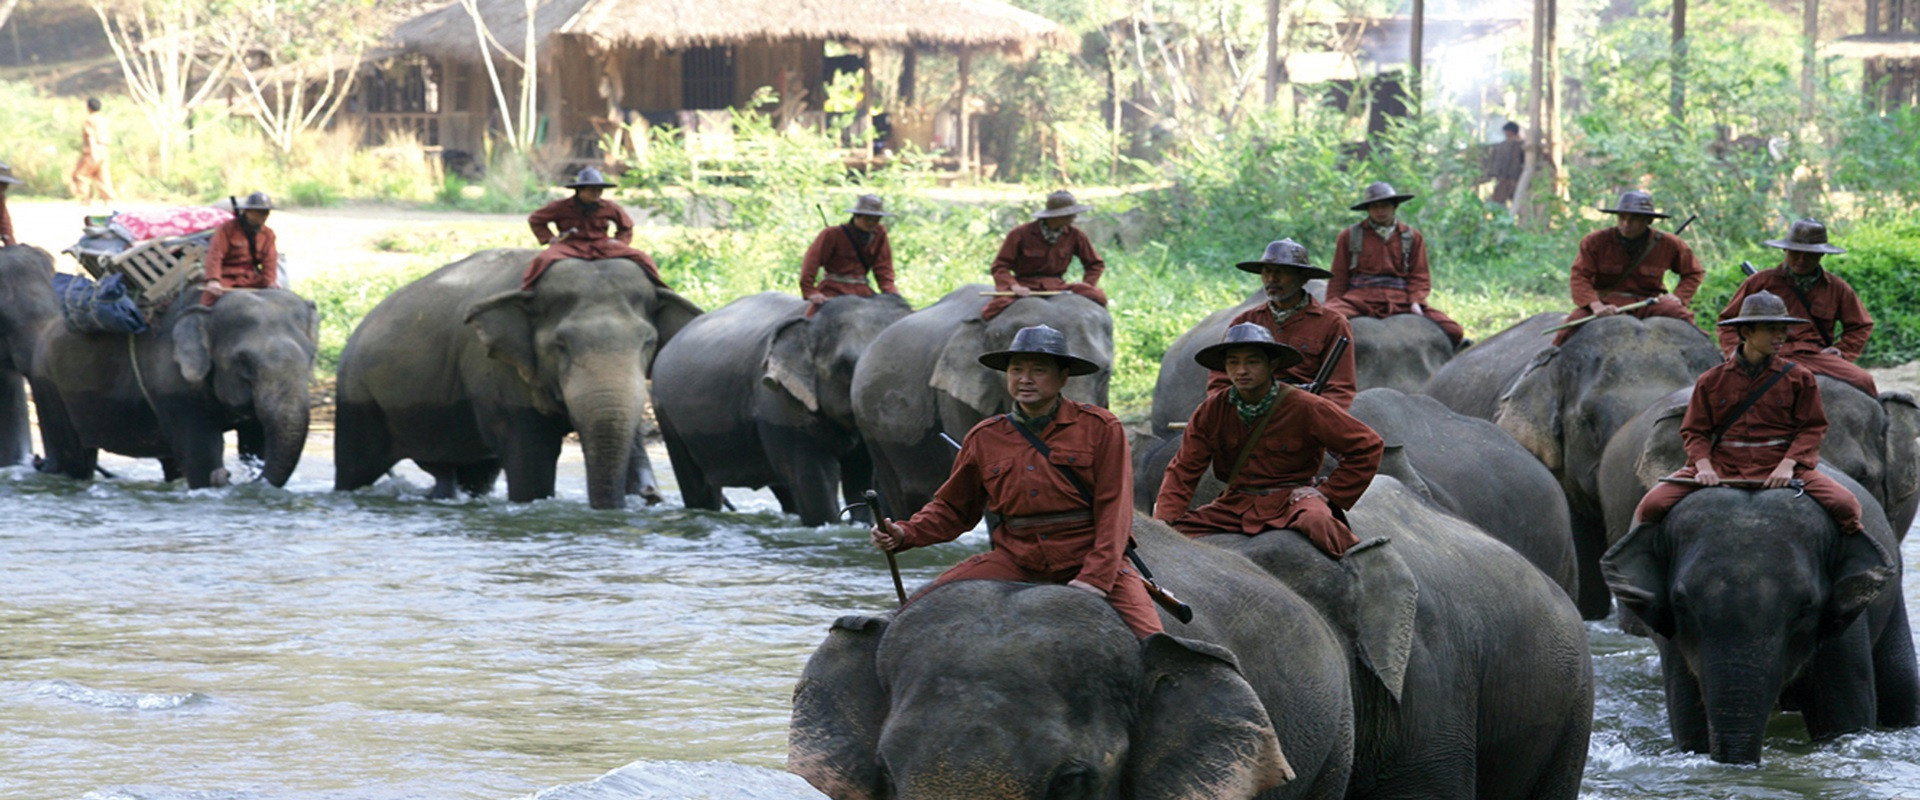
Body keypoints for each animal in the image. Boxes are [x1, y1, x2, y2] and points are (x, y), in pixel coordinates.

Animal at [2, 246, 318, 487]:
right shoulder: (172, 384)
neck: (208, 310)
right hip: (49, 386)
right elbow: (202, 455)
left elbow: (257, 441)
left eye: (311, 358)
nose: (228, 476)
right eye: (245, 364)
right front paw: (212, 479)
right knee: (74, 461)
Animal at [332, 250, 701, 510]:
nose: (650, 494)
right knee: (354, 468)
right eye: (560, 345)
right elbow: (531, 460)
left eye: (649, 343)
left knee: (468, 473)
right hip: (356, 396)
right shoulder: (496, 370)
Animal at [653, 292, 910, 525]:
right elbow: (814, 478)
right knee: (699, 486)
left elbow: (859, 473)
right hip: (667, 417)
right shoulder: (779, 401)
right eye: (847, 366)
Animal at [1601, 468, 1920, 764]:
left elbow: (1844, 716)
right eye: (1681, 603)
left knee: (1901, 686)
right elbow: (1689, 723)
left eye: (1806, 607)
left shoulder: (1841, 630)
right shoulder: (1674, 640)